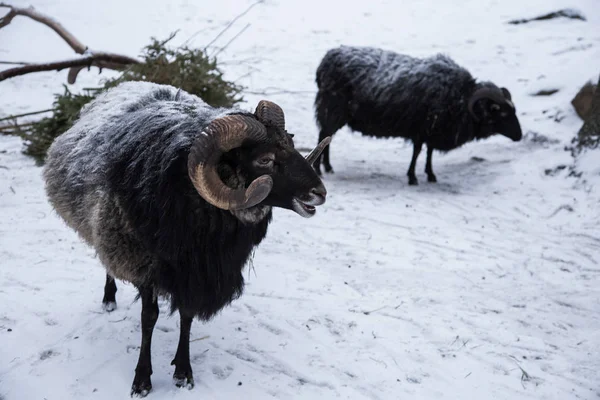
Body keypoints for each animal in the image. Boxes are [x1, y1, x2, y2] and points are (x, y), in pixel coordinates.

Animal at [314, 45, 520, 184]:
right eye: (500, 112)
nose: (519, 136)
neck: (461, 97)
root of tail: (325, 61)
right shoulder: (422, 128)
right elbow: (418, 152)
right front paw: (413, 177)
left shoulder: (432, 130)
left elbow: (429, 152)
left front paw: (430, 174)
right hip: (331, 110)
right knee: (323, 135)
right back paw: (318, 169)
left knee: (327, 137)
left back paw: (328, 167)